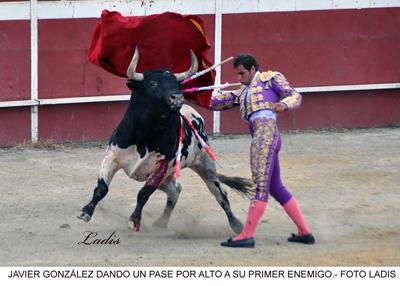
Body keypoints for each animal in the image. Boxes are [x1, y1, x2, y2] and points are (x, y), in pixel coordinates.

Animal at [78, 47, 253, 235]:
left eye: (176, 84)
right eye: (153, 84)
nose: (177, 97)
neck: (144, 136)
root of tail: (194, 115)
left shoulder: (161, 166)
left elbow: (143, 193)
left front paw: (134, 220)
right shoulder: (112, 156)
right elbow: (102, 188)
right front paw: (86, 212)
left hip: (205, 166)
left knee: (220, 194)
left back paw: (236, 225)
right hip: (167, 178)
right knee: (175, 190)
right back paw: (161, 222)